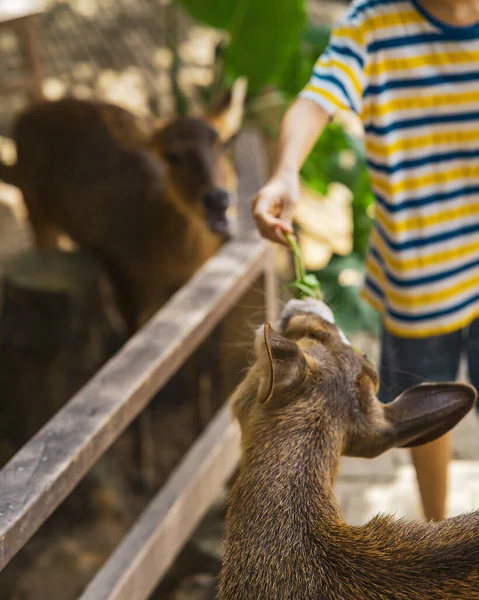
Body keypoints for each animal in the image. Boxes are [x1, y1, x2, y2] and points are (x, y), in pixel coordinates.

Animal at [0, 78, 248, 332]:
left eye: (225, 144)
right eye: (171, 155)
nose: (217, 199)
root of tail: (24, 113)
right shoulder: (123, 281)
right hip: (30, 199)